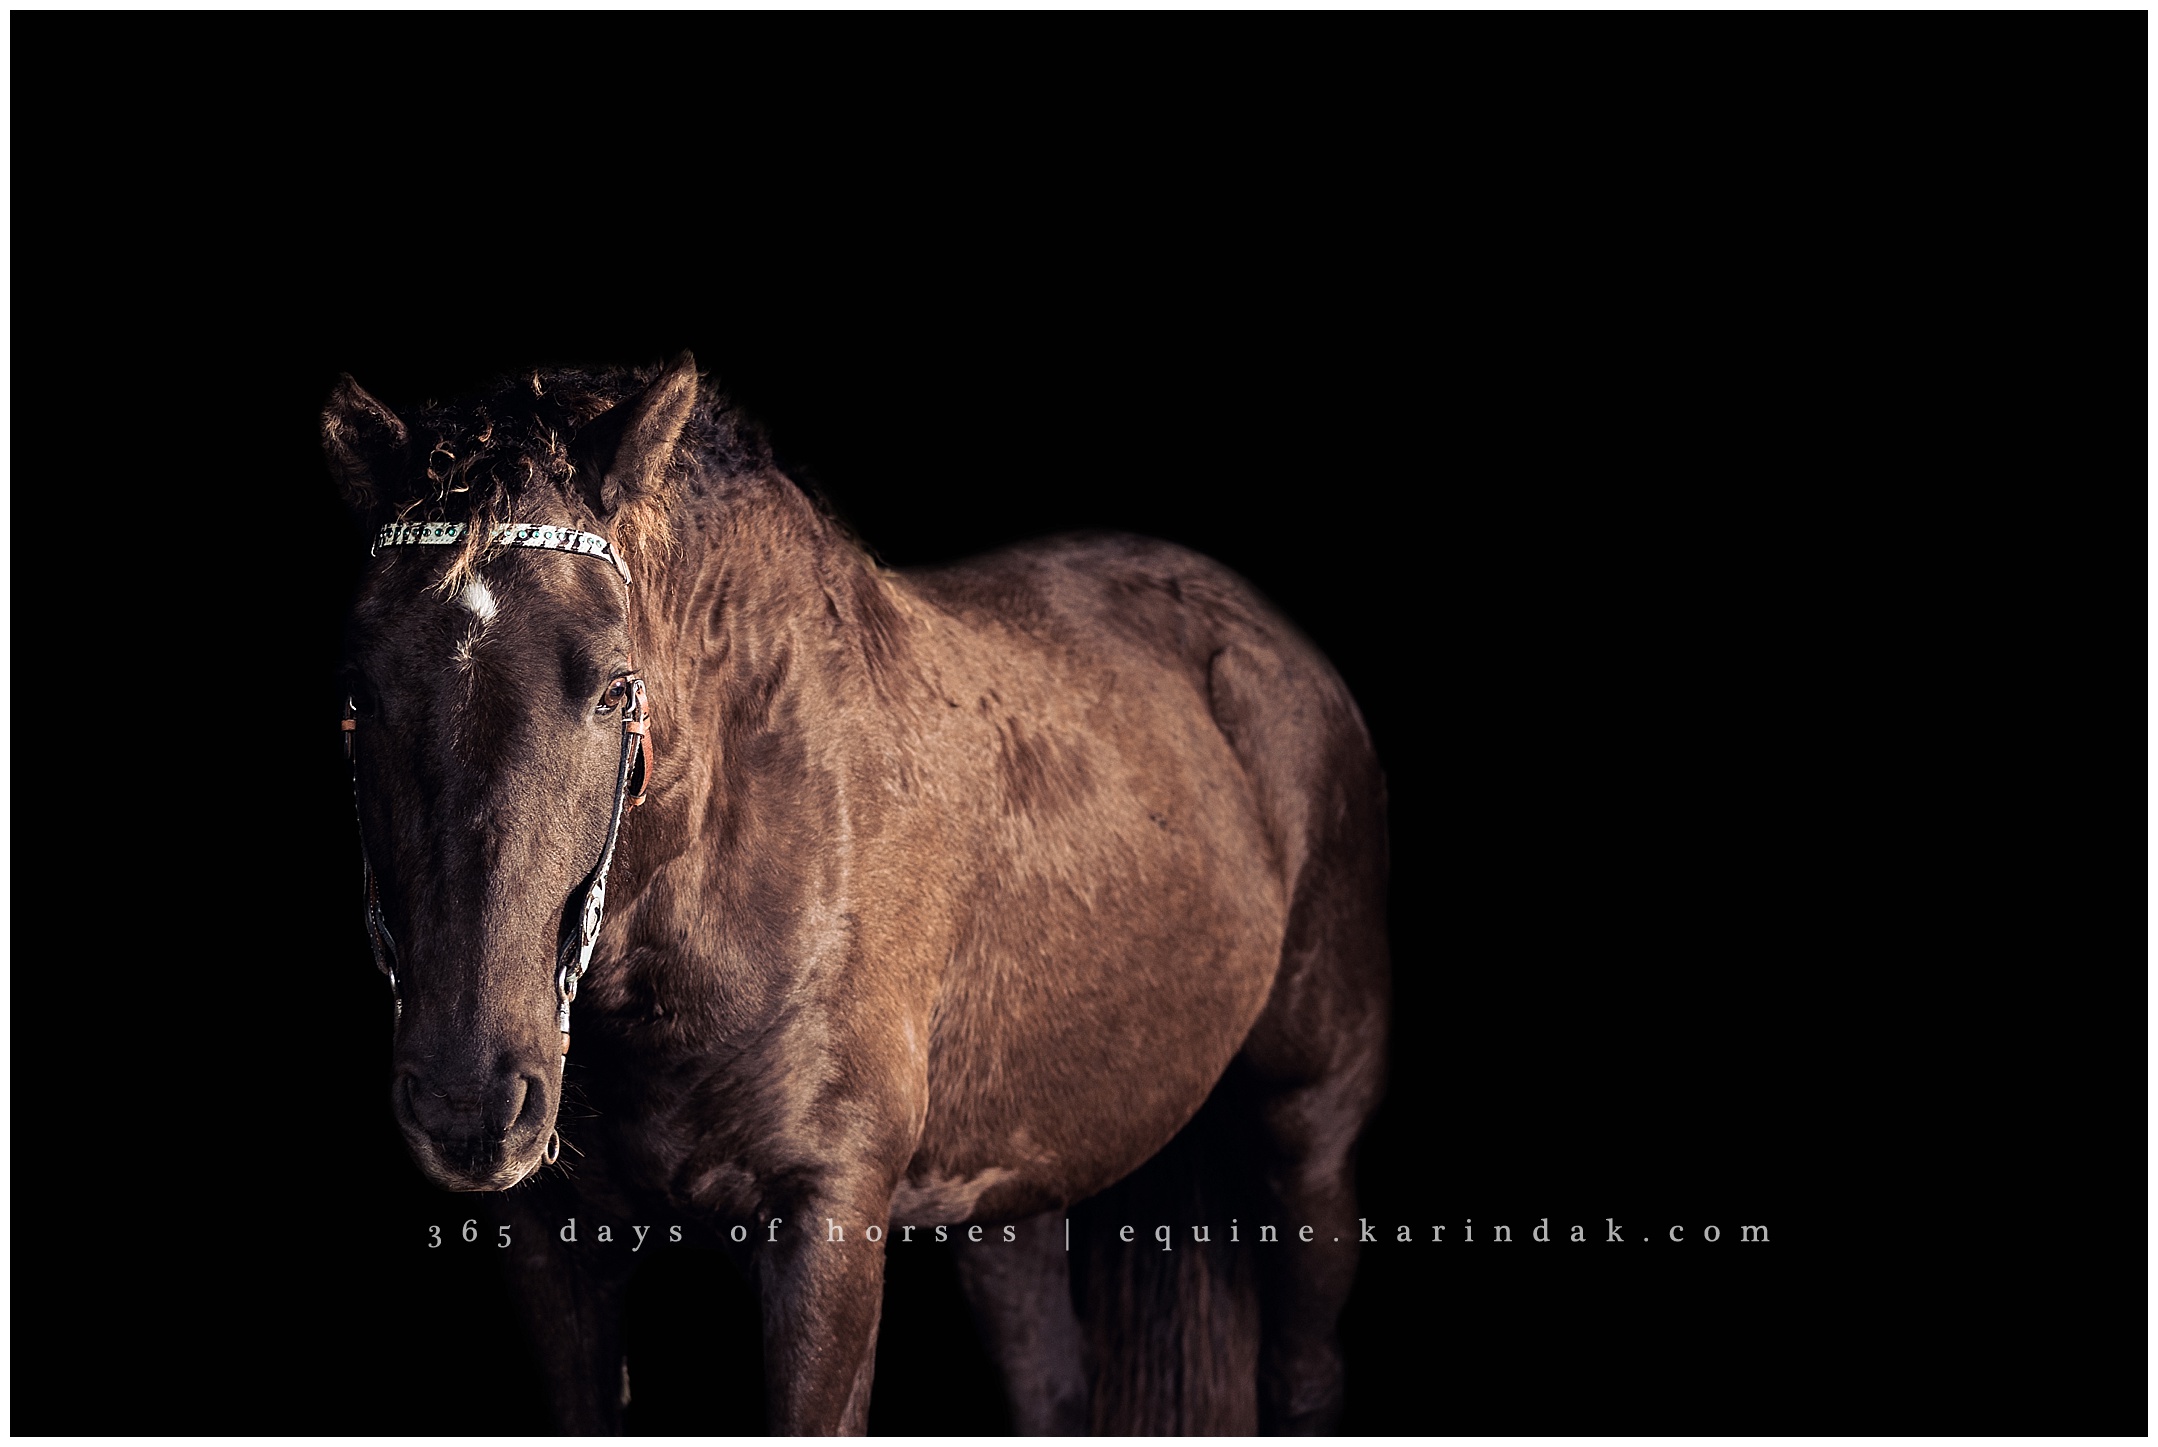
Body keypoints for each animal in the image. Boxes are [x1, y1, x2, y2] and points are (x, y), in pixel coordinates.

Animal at [323, 353, 1390, 1435]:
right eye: (358, 693)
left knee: (1304, 1369)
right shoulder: (551, 1246)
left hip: (1309, 1127)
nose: (467, 1098)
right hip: (1010, 1182)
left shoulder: (826, 1227)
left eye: (616, 687)